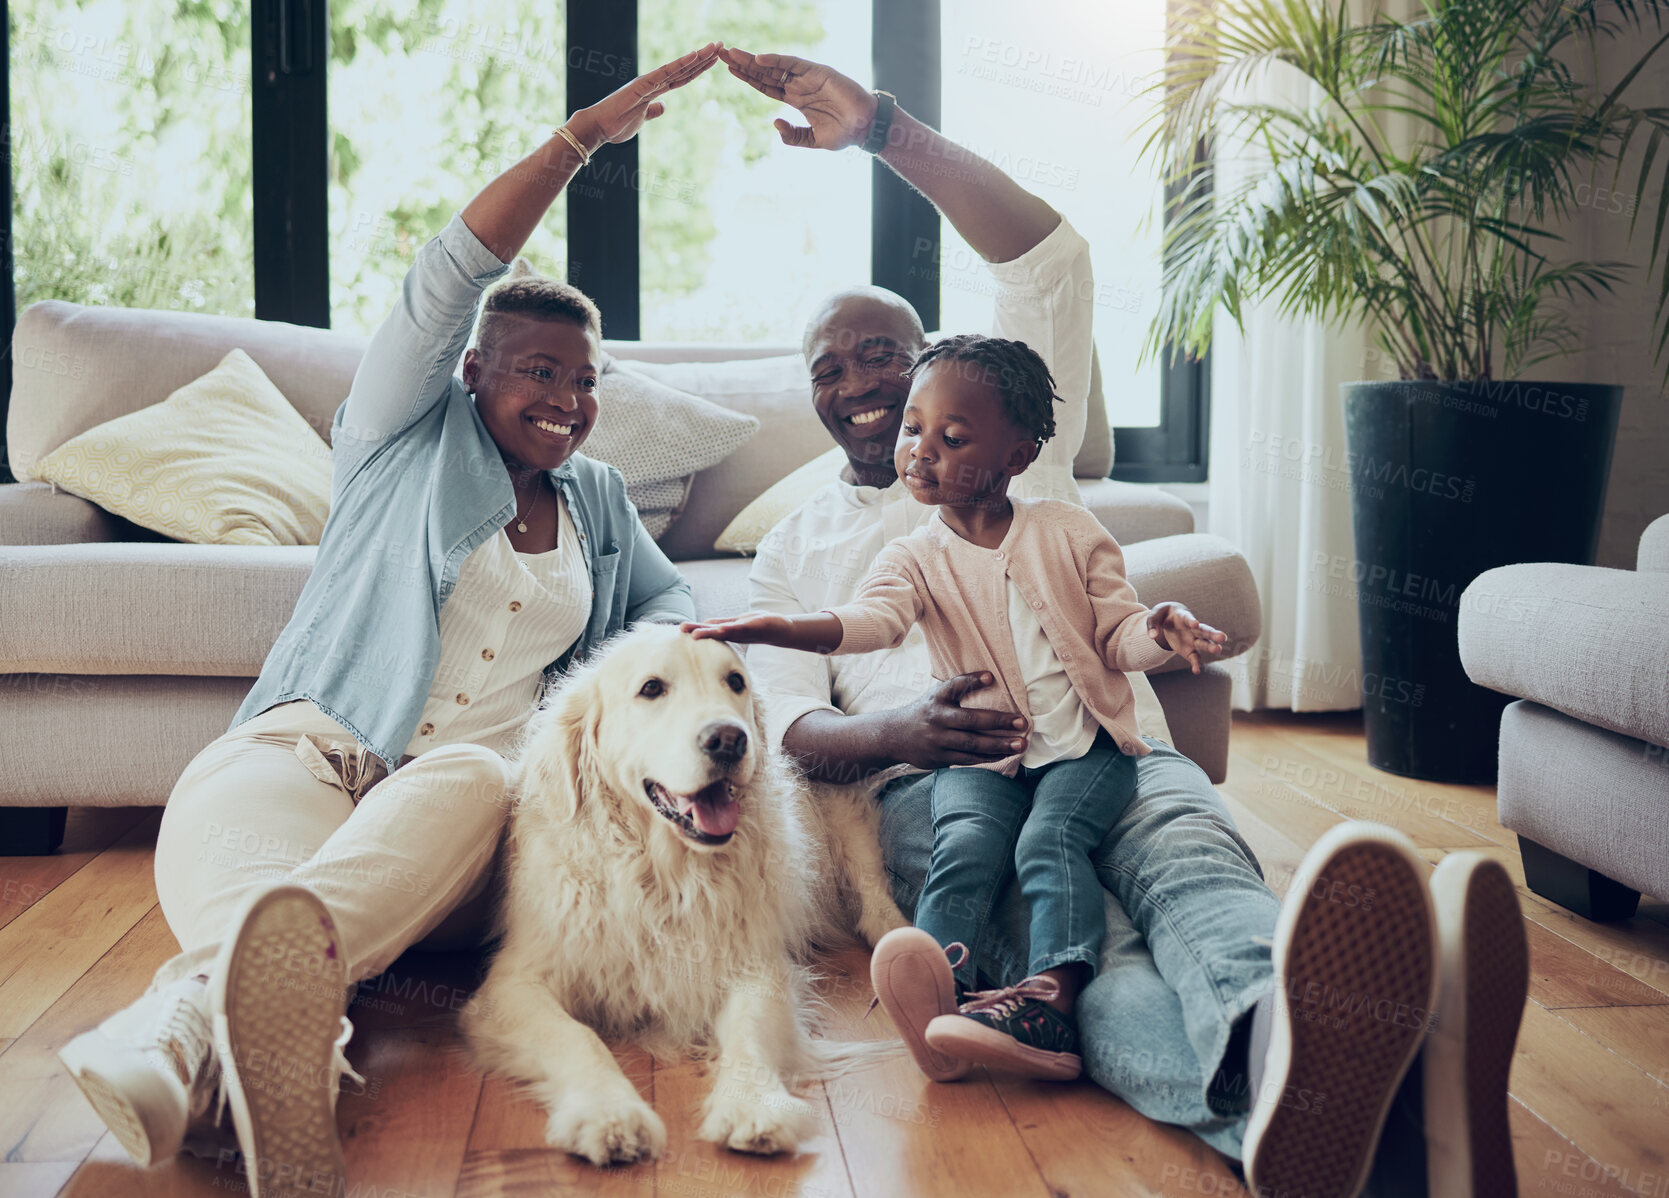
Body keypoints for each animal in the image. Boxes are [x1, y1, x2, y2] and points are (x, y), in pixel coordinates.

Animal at [463, 624, 907, 1167]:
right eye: (652, 688)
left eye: (735, 681)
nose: (729, 740)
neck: (663, 873)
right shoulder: (515, 983)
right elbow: (574, 1036)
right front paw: (608, 1112)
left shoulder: (755, 964)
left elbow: (750, 1033)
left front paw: (753, 1104)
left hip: (846, 818)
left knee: (872, 891)